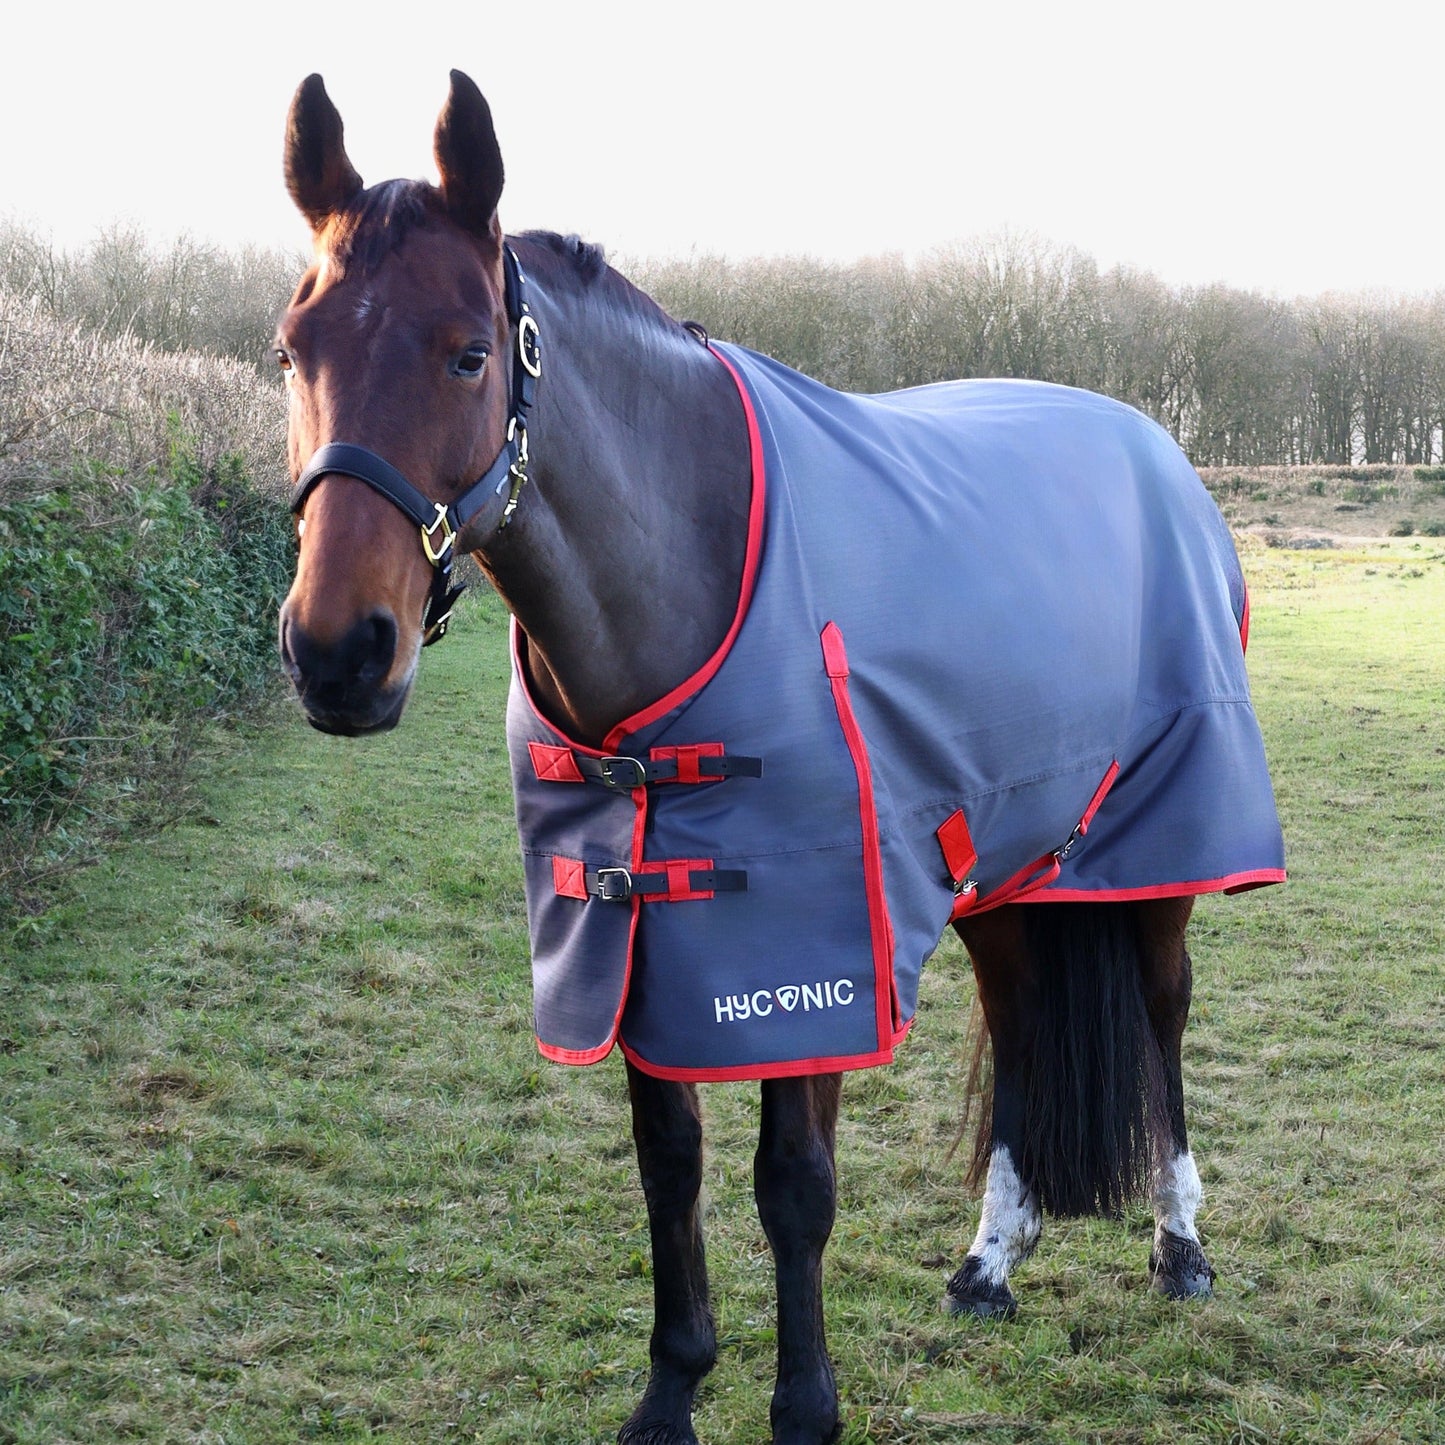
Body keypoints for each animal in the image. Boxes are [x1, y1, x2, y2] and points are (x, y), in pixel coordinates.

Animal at [275, 71, 1284, 1445]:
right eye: (292, 352)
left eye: (467, 351)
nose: (337, 653)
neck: (692, 567)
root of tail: (1158, 450)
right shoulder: (636, 935)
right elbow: (670, 1167)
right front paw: (670, 1392)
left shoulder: (809, 942)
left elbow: (791, 1181)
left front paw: (803, 1405)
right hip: (1010, 862)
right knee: (1021, 1014)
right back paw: (989, 1259)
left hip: (1158, 843)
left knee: (1164, 1009)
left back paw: (1179, 1246)